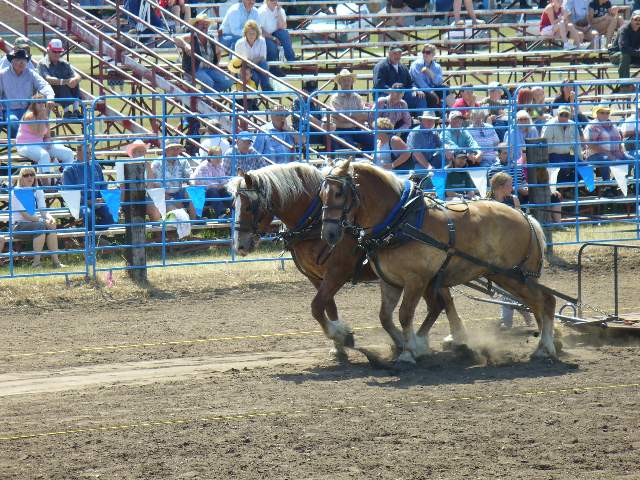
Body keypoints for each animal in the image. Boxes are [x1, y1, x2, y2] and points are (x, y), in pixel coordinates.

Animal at [228, 162, 468, 360]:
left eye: (249, 206)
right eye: (233, 205)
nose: (240, 245)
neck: (315, 221)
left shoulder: (337, 272)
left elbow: (316, 306)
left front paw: (341, 335)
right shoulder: (317, 277)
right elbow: (328, 307)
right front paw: (339, 343)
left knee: (443, 302)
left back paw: (453, 339)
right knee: (443, 301)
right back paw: (447, 338)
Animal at [320, 158, 556, 364]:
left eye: (339, 193)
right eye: (321, 195)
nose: (329, 234)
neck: (400, 220)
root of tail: (526, 218)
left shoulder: (416, 280)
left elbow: (405, 315)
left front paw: (408, 352)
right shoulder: (390, 281)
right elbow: (385, 317)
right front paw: (406, 345)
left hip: (513, 276)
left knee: (544, 302)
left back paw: (546, 347)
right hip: (507, 276)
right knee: (540, 304)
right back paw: (545, 346)